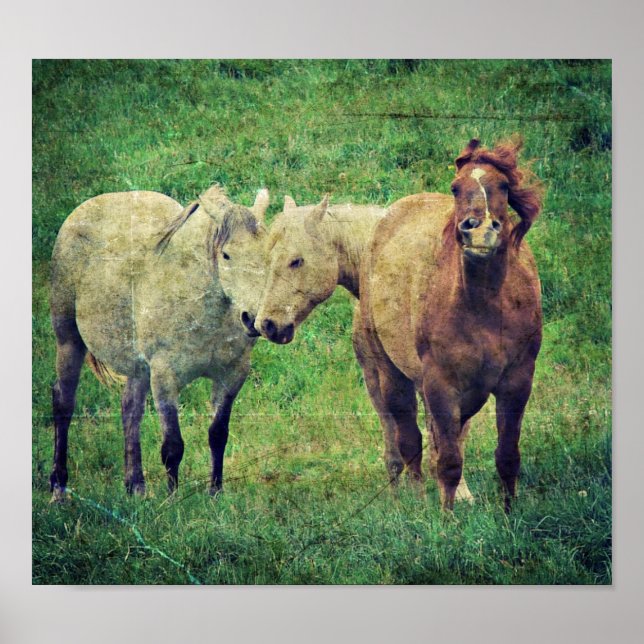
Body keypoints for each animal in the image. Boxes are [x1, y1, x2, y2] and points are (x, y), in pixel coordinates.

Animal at [49, 185, 269, 501]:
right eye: (226, 255)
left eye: (267, 254)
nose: (254, 319)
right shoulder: (165, 377)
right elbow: (173, 446)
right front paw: (172, 500)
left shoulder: (232, 375)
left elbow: (218, 434)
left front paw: (215, 493)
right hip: (68, 340)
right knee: (63, 402)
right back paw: (58, 487)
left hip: (137, 367)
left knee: (130, 409)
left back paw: (135, 486)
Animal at [359, 138, 543, 510]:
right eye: (456, 187)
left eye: (504, 185)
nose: (480, 231)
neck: (484, 307)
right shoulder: (441, 384)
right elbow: (447, 460)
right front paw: (447, 517)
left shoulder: (517, 381)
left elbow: (507, 455)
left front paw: (509, 511)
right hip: (392, 374)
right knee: (410, 441)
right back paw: (417, 502)